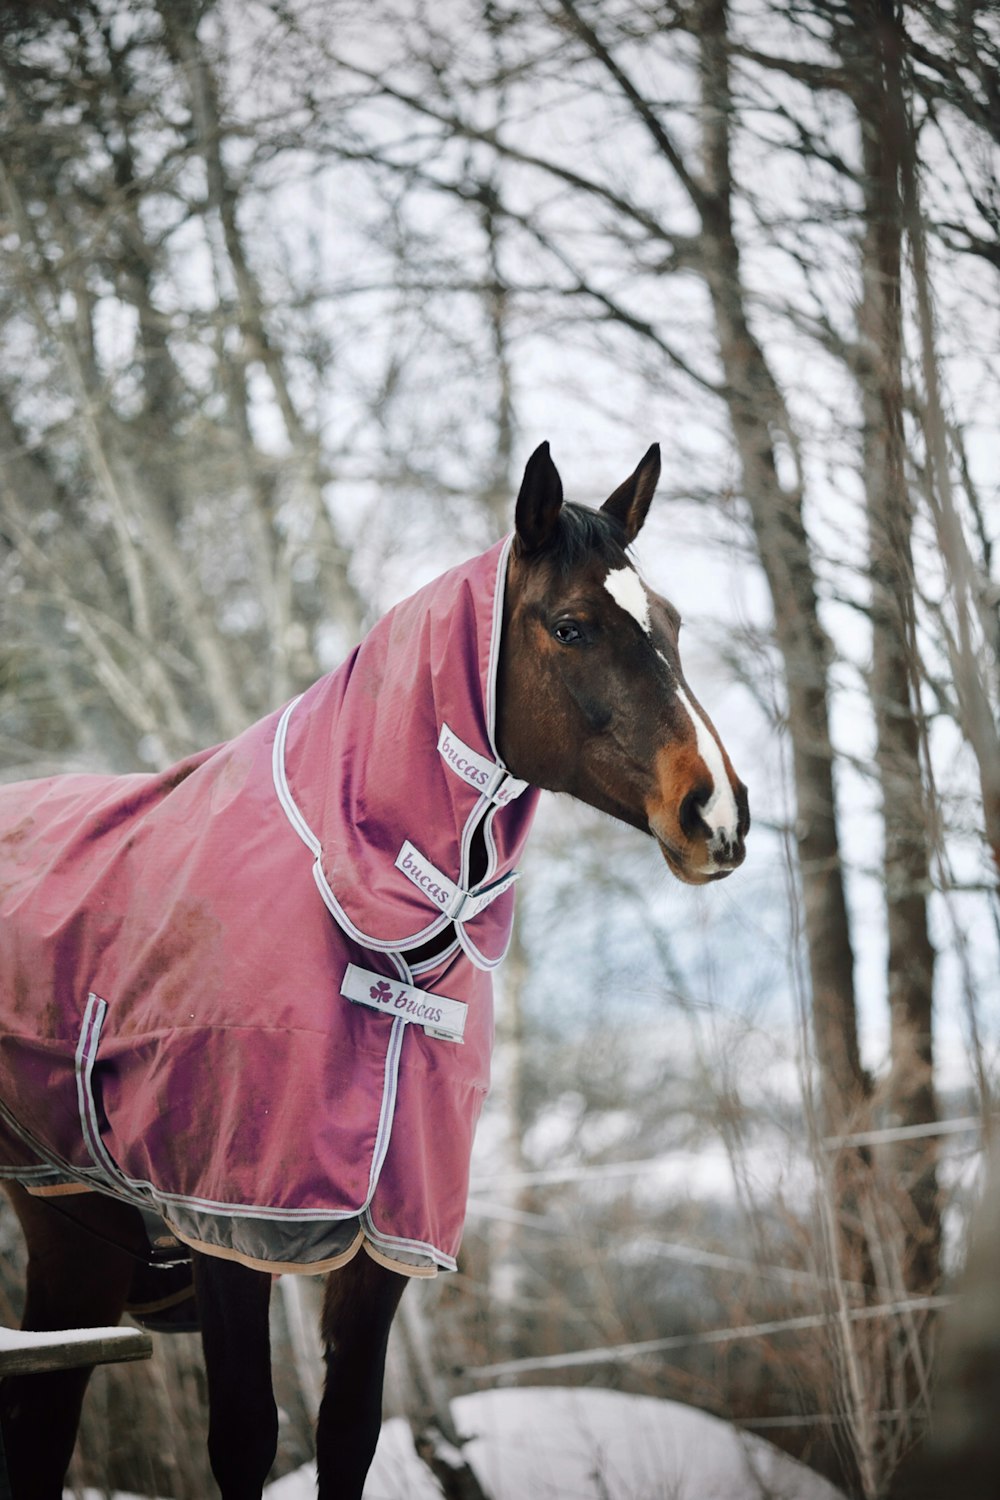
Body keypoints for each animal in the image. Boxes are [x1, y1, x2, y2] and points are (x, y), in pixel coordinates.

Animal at [0, 438, 746, 1494]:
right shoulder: (232, 1221)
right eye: (571, 627)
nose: (715, 813)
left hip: (71, 1227)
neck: (349, 893)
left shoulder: (386, 1238)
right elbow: (246, 1438)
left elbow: (349, 1430)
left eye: (672, 624)